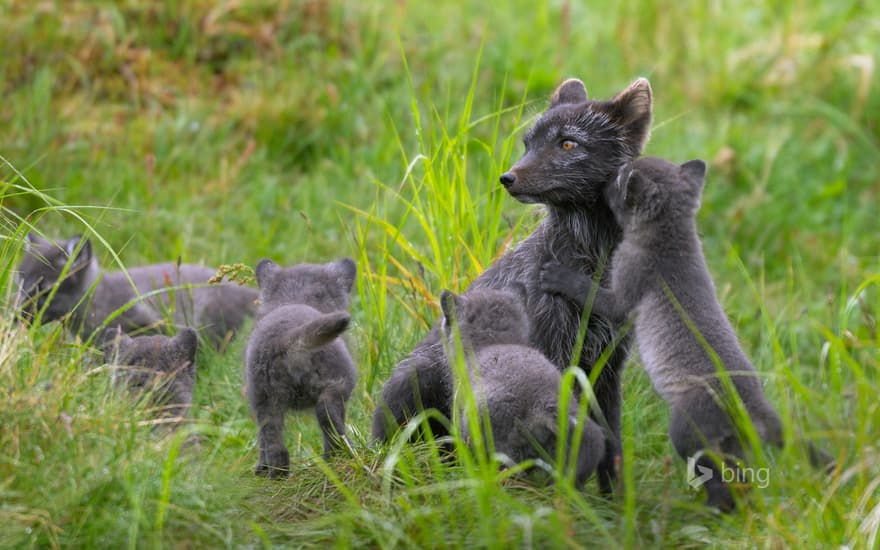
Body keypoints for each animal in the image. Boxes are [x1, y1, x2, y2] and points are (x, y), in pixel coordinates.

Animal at [372, 76, 652, 496]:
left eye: (568, 143)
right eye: (528, 143)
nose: (507, 178)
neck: (593, 266)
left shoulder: (606, 365)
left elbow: (611, 444)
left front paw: (613, 504)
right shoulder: (550, 350)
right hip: (416, 382)